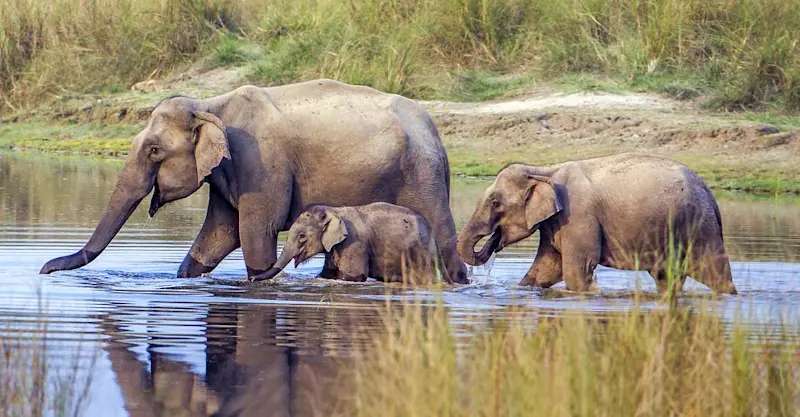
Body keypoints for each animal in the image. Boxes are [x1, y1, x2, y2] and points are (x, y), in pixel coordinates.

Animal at [252, 203, 445, 283]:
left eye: (302, 236)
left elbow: (352, 277)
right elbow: (327, 274)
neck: (334, 211)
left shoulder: (354, 243)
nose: (252, 279)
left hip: (422, 254)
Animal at [457, 153, 738, 295]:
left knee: (714, 272)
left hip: (699, 226)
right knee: (666, 278)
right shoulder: (556, 222)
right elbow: (546, 268)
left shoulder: (578, 216)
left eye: (495, 202)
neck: (545, 169)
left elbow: (575, 270)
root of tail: (710, 194)